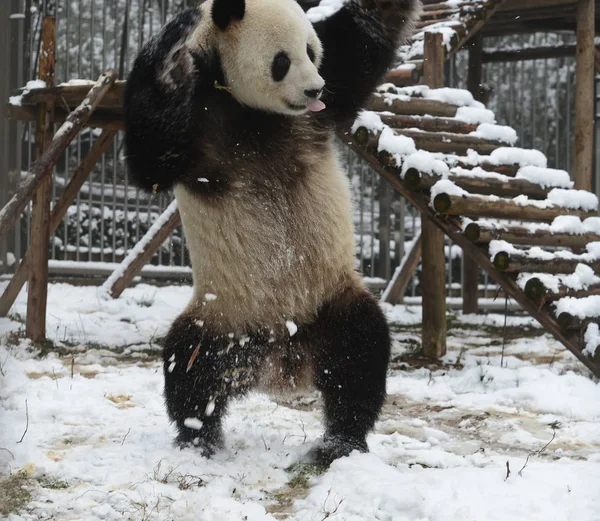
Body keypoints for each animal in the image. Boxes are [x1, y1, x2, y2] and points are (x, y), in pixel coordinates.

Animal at [124, 0, 420, 464]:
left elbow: (368, 32)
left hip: (330, 300)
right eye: (282, 61)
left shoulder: (328, 97)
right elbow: (151, 157)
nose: (316, 90)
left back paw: (340, 443)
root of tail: (281, 360)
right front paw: (173, 48)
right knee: (190, 368)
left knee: (360, 356)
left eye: (311, 52)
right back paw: (200, 440)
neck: (256, 111)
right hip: (223, 315)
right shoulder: (198, 128)